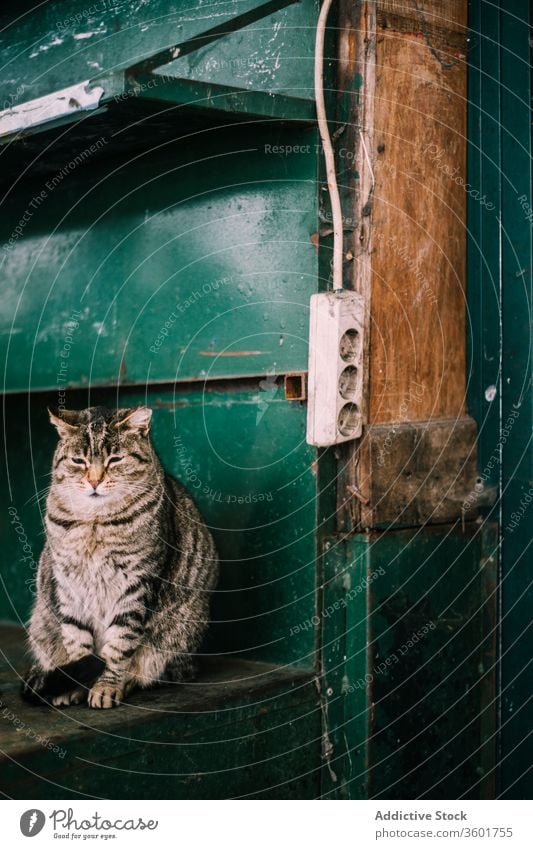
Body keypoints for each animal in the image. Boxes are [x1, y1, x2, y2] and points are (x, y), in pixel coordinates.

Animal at [22, 404, 218, 708]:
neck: (94, 522)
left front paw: (106, 686)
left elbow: (118, 646)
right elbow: (76, 641)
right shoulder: (69, 584)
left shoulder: (136, 583)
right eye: (78, 461)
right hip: (42, 621)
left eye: (114, 459)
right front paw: (74, 686)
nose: (94, 480)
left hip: (179, 631)